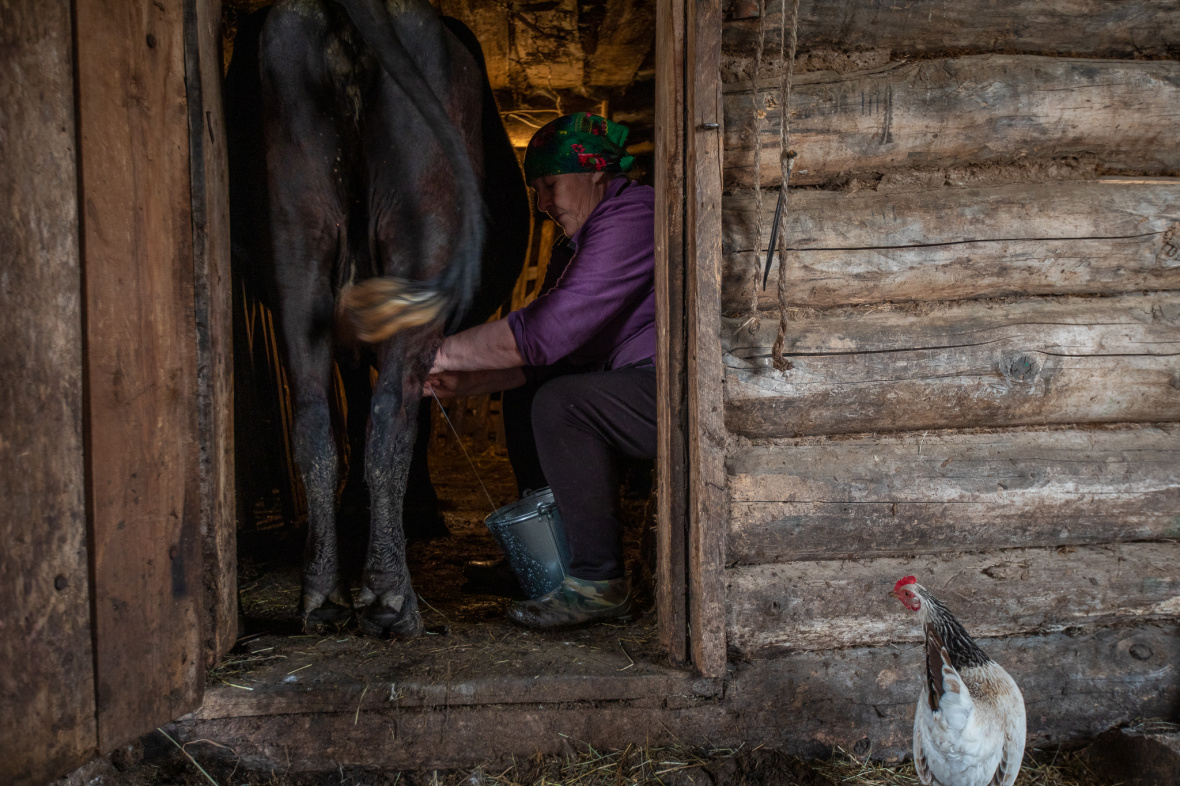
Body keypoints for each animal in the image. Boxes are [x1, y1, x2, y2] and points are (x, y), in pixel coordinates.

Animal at [225, 0, 530, 637]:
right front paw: (420, 511)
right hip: (422, 233)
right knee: (393, 411)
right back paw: (390, 596)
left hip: (298, 239)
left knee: (317, 414)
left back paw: (322, 594)